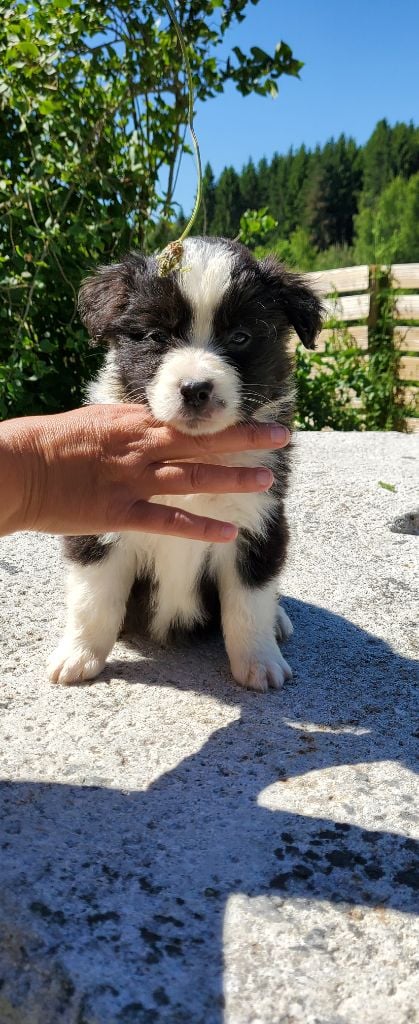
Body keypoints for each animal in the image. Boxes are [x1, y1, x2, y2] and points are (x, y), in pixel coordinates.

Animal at [47, 235, 321, 692]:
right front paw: (79, 655)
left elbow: (249, 603)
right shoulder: (103, 518)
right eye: (156, 336)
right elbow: (93, 599)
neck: (192, 453)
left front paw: (259, 662)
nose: (195, 389)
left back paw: (279, 621)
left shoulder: (258, 518)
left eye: (240, 336)